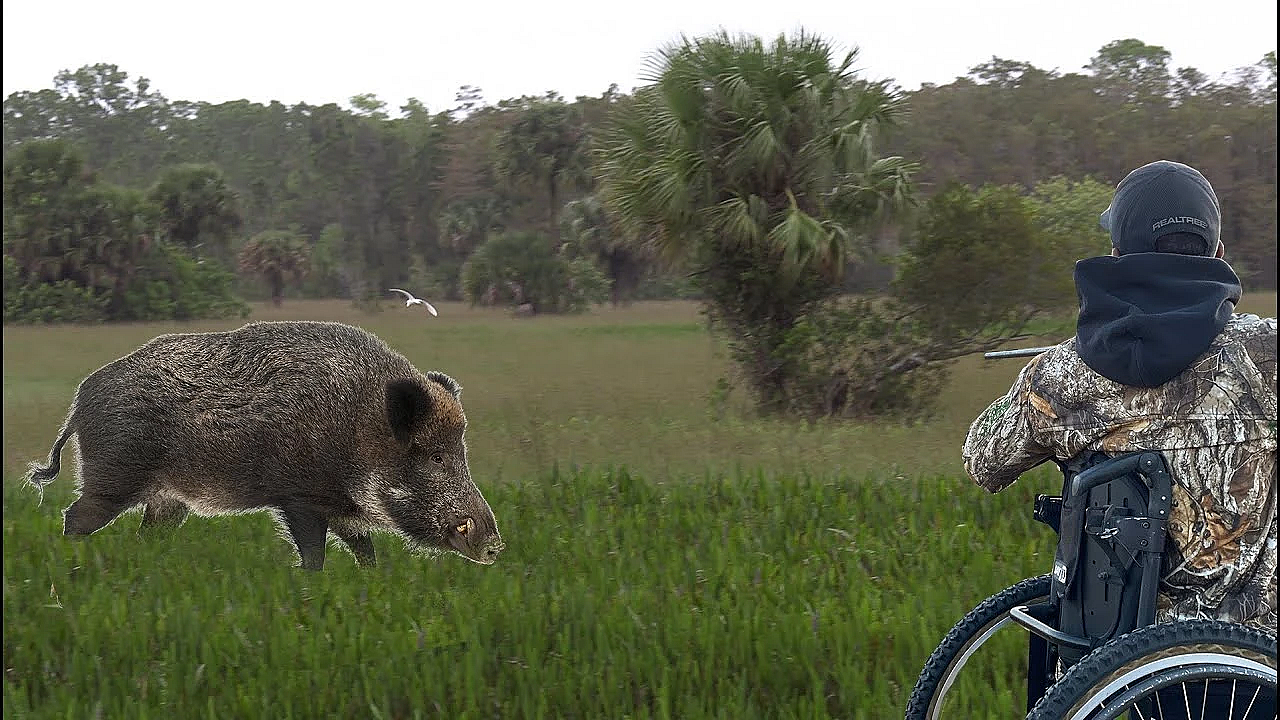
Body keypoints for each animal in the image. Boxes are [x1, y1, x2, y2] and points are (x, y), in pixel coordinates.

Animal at [23, 320, 504, 570]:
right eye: (436, 455)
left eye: (461, 452)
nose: (496, 545)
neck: (358, 426)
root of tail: (81, 400)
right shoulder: (299, 497)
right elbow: (313, 553)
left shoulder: (339, 508)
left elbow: (365, 551)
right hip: (114, 477)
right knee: (75, 517)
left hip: (167, 500)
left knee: (147, 533)